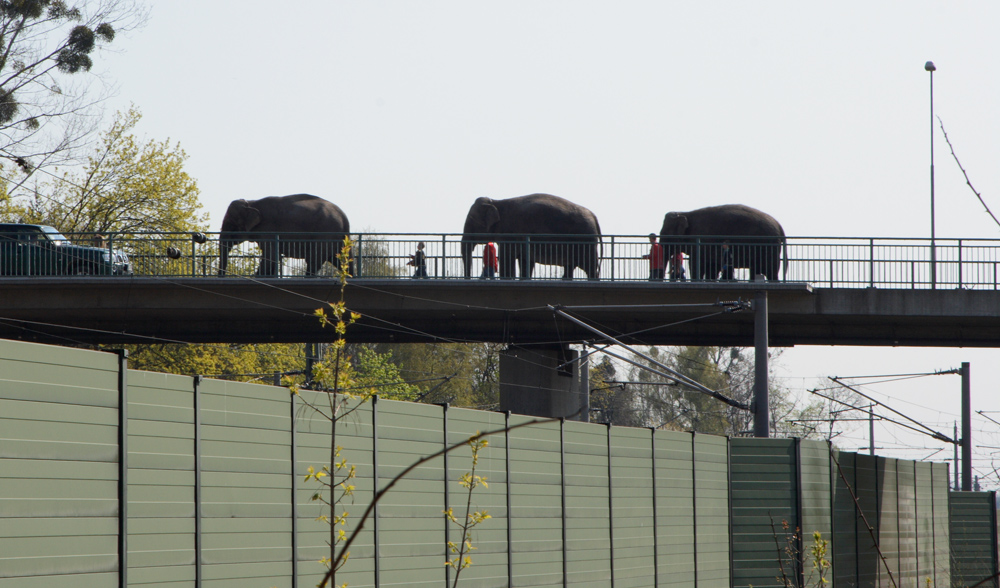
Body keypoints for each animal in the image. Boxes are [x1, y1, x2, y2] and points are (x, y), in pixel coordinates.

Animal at [217, 193, 350, 276]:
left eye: (230, 224)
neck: (251, 203)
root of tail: (344, 218)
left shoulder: (267, 229)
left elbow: (270, 256)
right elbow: (272, 258)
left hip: (324, 235)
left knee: (313, 260)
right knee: (343, 262)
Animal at [460, 193, 600, 280]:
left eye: (471, 221)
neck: (496, 202)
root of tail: (594, 216)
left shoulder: (510, 231)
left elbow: (507, 257)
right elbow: (525, 260)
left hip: (586, 239)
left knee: (590, 268)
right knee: (570, 267)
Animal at [656, 204, 788, 282]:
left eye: (664, 234)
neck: (685, 213)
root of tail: (779, 225)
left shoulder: (701, 239)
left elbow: (697, 264)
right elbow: (712, 267)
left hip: (770, 247)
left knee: (771, 272)